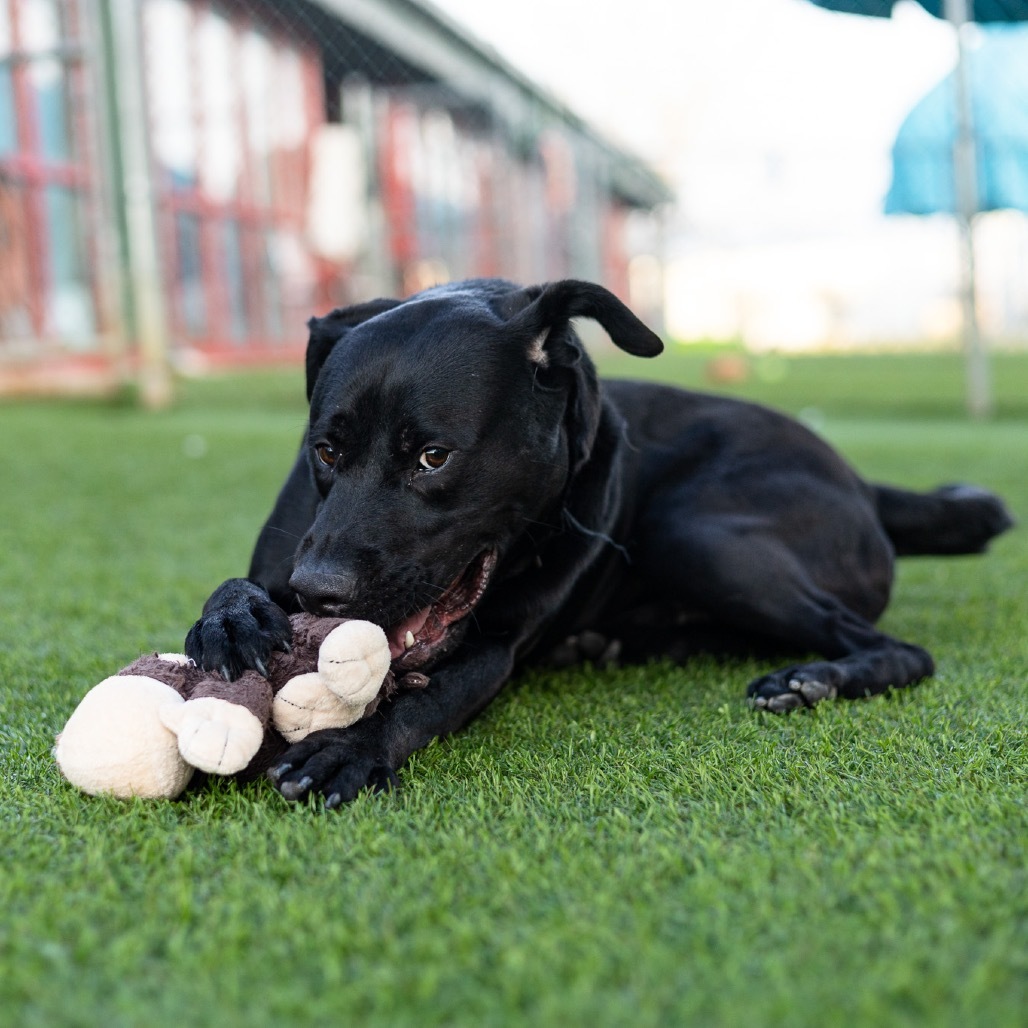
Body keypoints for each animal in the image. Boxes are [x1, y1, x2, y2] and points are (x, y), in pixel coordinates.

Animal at [185, 277, 1011, 805]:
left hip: (696, 530)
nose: (320, 592)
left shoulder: (493, 650)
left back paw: (816, 679)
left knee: (899, 648)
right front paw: (231, 618)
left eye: (433, 457)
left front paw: (353, 747)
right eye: (327, 451)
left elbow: (431, 700)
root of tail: (866, 484)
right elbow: (235, 585)